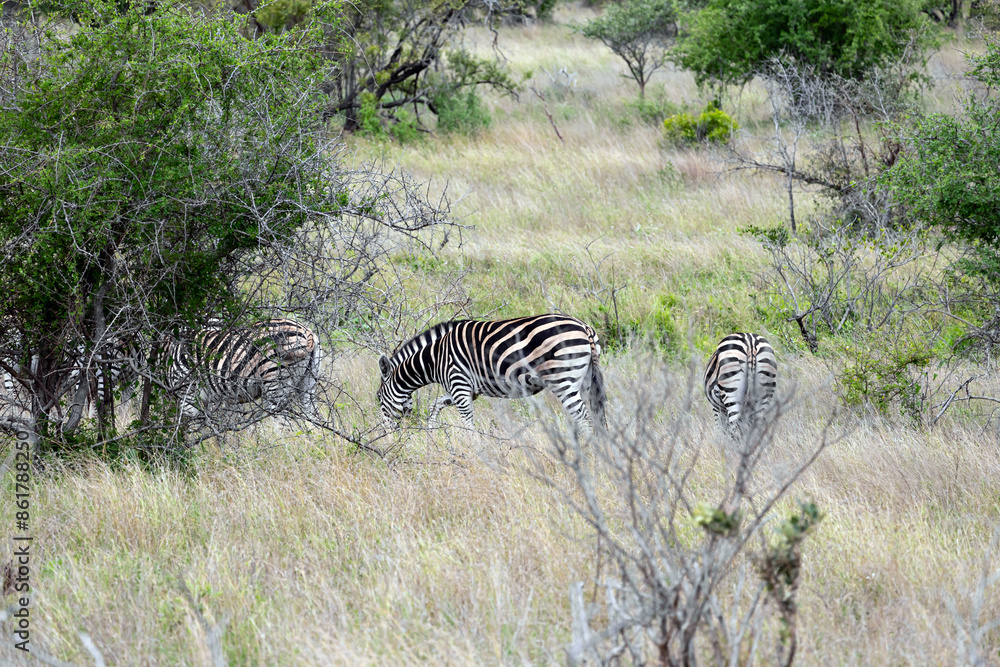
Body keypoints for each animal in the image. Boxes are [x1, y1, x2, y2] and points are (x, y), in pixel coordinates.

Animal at [164, 318, 322, 421]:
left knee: (280, 425)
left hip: (274, 386)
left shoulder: (186, 393)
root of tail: (306, 332)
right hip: (308, 384)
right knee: (312, 419)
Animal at [377, 314, 608, 431]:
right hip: (585, 380)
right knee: (595, 417)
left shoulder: (459, 385)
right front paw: (431, 434)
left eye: (379, 398)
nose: (387, 434)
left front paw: (474, 451)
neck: (435, 358)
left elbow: (468, 423)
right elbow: (435, 405)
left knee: (584, 419)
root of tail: (584, 327)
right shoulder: (465, 390)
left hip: (563, 380)